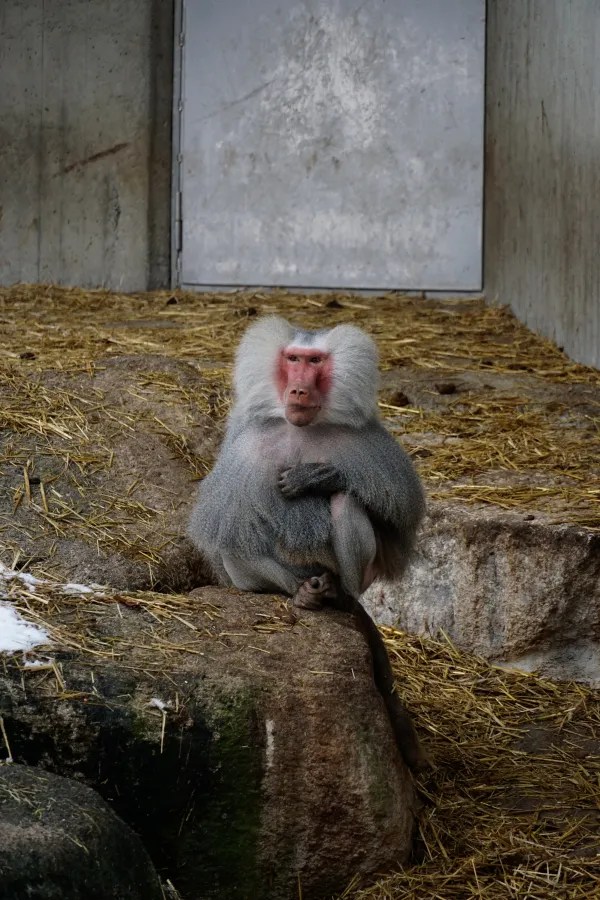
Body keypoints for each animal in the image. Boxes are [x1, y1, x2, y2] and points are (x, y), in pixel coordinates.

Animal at [188, 316, 428, 770]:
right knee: (236, 535)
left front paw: (319, 477)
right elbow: (228, 525)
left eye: (315, 362)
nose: (298, 390)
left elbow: (395, 522)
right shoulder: (245, 443)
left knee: (345, 504)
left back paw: (340, 596)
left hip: (353, 573)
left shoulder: (372, 450)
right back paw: (305, 594)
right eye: (292, 360)